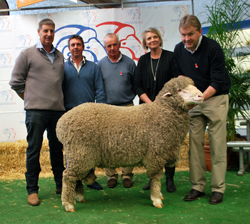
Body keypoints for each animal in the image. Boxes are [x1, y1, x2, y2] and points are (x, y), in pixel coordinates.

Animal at [57, 77, 205, 212]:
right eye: (179, 90)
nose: (201, 95)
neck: (161, 113)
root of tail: (61, 123)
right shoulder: (156, 155)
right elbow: (156, 179)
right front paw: (156, 199)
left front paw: (159, 195)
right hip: (80, 153)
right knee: (68, 176)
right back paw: (68, 204)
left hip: (79, 155)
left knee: (76, 178)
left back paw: (79, 197)